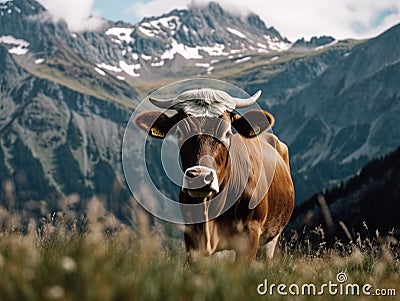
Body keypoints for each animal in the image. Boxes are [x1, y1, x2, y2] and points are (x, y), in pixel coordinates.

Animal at [134, 87, 294, 260]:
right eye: (179, 132)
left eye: (227, 133)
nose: (200, 177)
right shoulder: (191, 237)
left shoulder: (250, 233)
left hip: (271, 238)